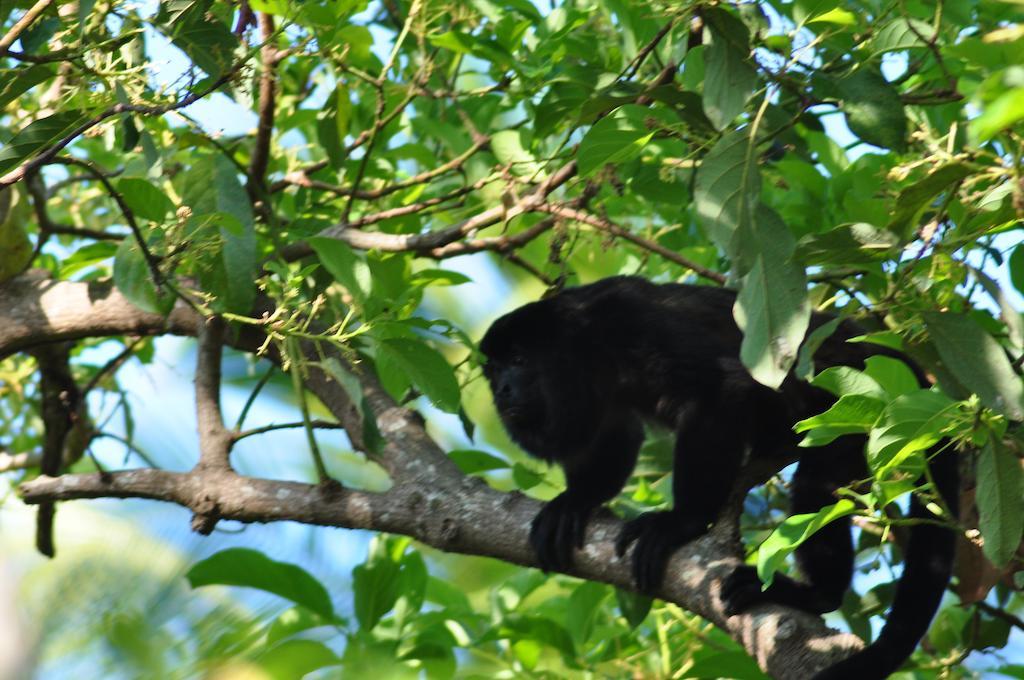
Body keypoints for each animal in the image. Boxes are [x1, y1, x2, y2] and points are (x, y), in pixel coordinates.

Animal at [479, 276, 958, 680]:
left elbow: (718, 387)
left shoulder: (630, 324)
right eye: (493, 371)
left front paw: (681, 522)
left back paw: (816, 593)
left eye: (518, 361)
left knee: (816, 487)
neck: (583, 348)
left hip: (860, 415)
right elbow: (614, 436)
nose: (501, 392)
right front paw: (576, 501)